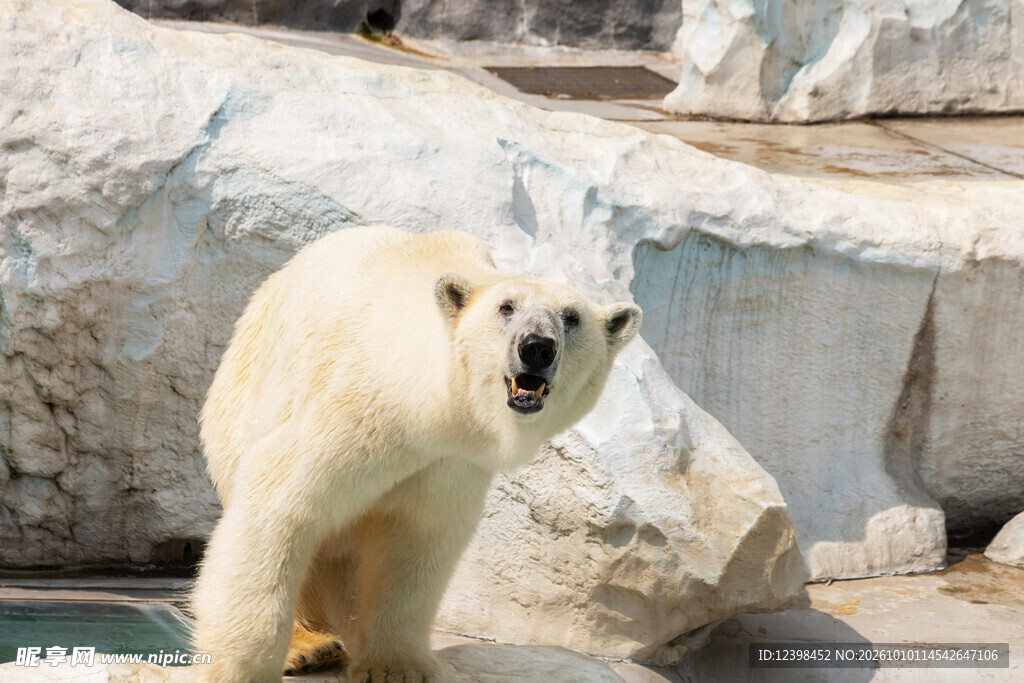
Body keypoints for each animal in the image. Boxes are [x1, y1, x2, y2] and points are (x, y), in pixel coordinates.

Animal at [191, 225, 642, 682]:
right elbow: (280, 502)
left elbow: (417, 535)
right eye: (506, 307)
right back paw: (311, 646)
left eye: (572, 317)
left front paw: (397, 666)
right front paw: (239, 667)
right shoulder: (357, 411)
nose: (537, 347)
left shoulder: (450, 460)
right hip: (239, 403)